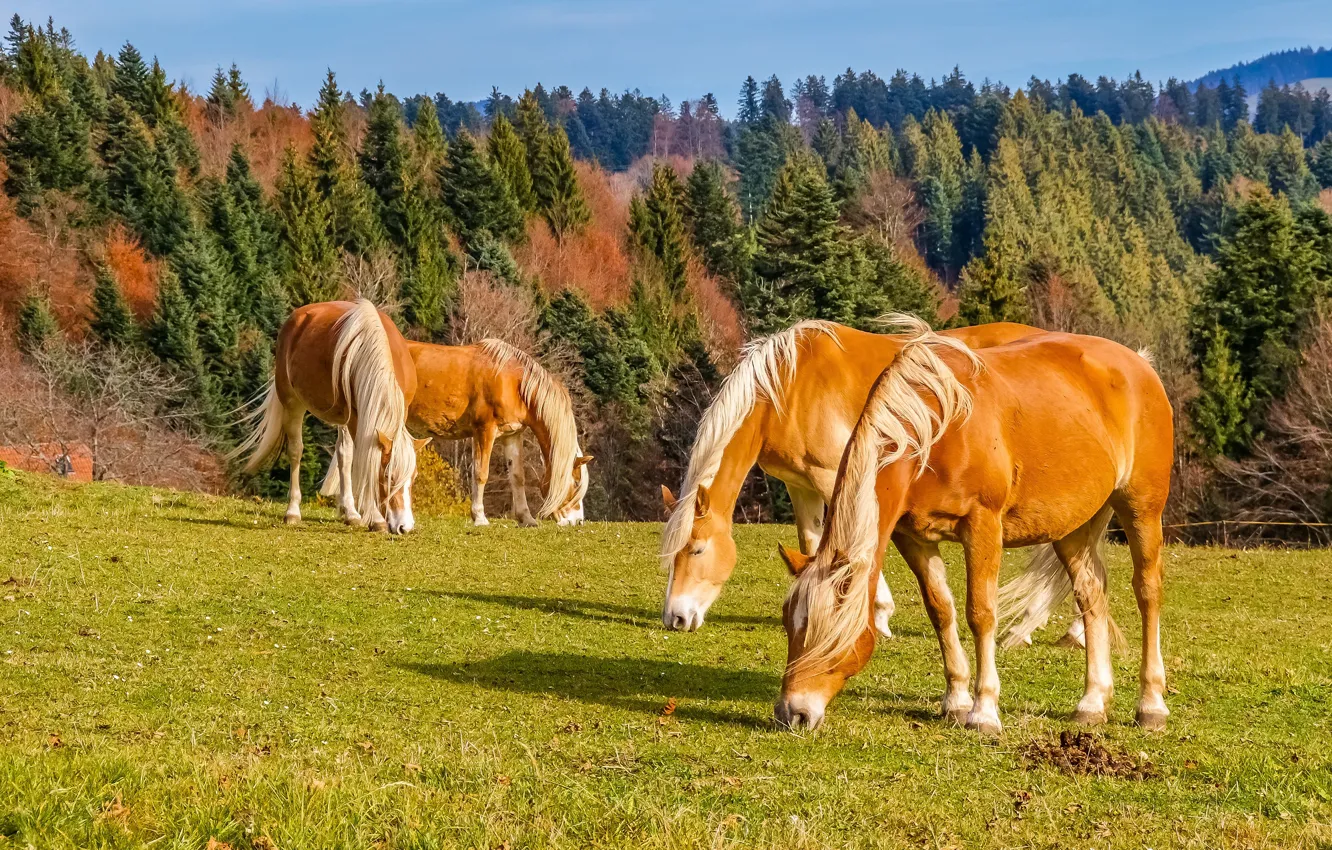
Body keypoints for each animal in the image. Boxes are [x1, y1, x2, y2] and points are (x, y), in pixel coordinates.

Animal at [233, 299, 426, 534]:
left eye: (413, 478)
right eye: (388, 477)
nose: (404, 526)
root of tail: (296, 317)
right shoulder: (357, 419)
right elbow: (365, 460)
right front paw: (376, 519)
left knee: (343, 455)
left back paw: (350, 513)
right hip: (293, 402)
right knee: (296, 451)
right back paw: (293, 512)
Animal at [323, 338, 590, 526]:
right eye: (576, 484)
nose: (577, 521)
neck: (512, 380)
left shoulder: (511, 435)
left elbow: (517, 477)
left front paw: (526, 518)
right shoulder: (485, 430)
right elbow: (480, 474)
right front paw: (479, 517)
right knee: (347, 457)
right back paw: (352, 512)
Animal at [659, 319, 1046, 636]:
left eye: (696, 549)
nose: (675, 618)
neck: (787, 388)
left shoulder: (834, 476)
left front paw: (880, 612)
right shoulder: (799, 485)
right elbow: (812, 543)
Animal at [775, 321, 1173, 735]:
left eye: (827, 630)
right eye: (789, 624)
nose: (792, 712)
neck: (938, 427)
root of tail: (1138, 364)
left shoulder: (982, 526)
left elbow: (980, 613)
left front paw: (983, 710)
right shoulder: (911, 536)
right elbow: (941, 610)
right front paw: (956, 699)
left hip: (1142, 508)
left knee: (1148, 592)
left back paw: (1151, 704)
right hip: (1071, 528)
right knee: (1091, 595)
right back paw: (1092, 702)